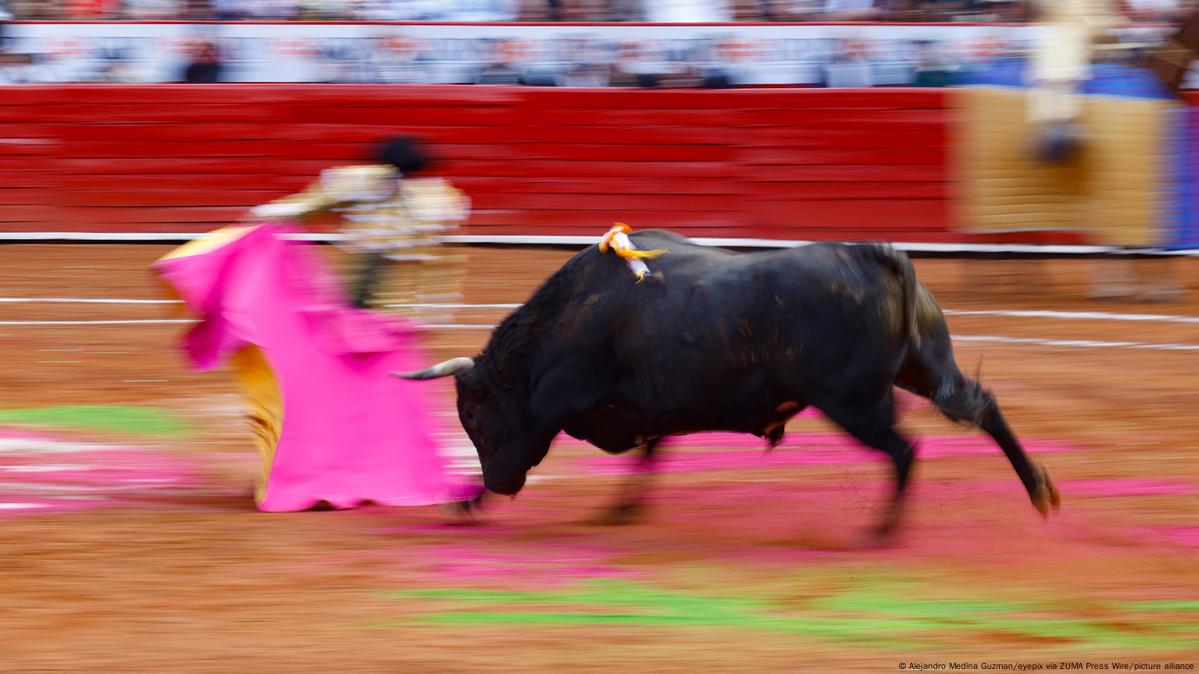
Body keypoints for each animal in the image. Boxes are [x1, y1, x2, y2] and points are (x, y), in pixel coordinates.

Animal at [398, 230, 1064, 534]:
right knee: (979, 407)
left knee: (903, 449)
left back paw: (881, 531)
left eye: (474, 417)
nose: (500, 484)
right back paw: (1039, 488)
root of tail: (875, 256)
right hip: (923, 369)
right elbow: (651, 456)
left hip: (853, 401)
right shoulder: (656, 409)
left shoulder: (553, 405)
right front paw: (622, 510)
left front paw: (465, 501)